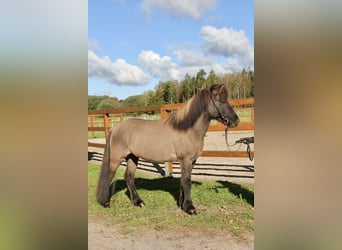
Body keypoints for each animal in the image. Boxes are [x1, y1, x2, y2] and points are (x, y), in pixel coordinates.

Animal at [96, 84, 239, 215]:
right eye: (222, 100)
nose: (236, 121)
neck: (187, 129)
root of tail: (115, 128)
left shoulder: (191, 161)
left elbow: (183, 181)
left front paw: (182, 204)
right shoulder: (186, 160)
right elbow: (187, 182)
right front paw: (190, 208)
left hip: (132, 157)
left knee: (129, 177)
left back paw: (138, 202)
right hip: (116, 158)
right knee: (109, 175)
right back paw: (105, 202)